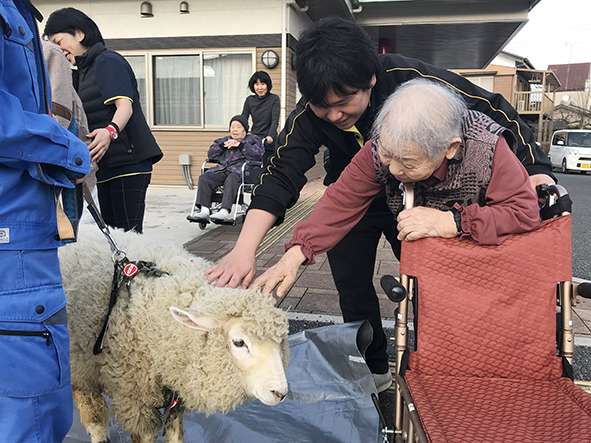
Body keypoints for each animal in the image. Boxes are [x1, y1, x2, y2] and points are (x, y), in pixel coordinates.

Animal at [59, 229, 290, 443]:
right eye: (239, 342)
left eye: (280, 343)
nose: (280, 393)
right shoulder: (135, 399)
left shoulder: (175, 395)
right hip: (80, 364)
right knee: (93, 413)